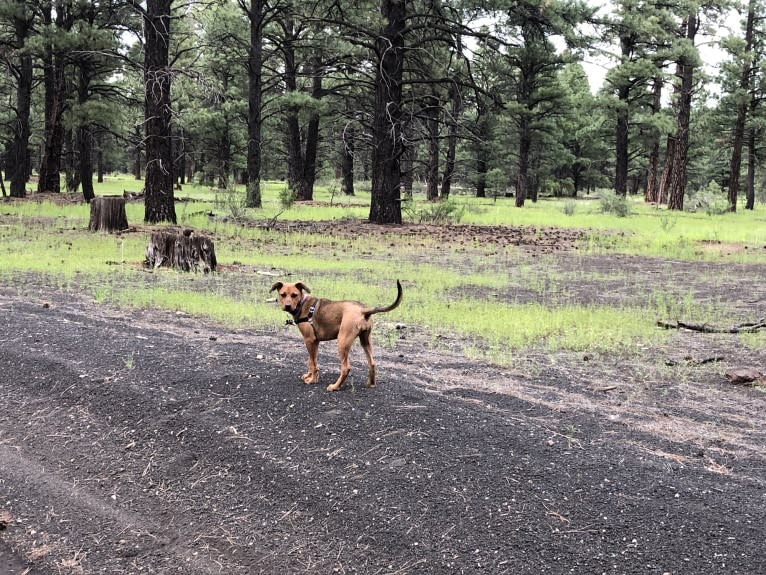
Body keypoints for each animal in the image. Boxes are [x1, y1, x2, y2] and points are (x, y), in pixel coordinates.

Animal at [272, 282, 404, 394]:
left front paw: (312, 380)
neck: (303, 303)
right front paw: (309, 376)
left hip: (342, 342)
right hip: (365, 340)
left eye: (294, 295)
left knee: (346, 368)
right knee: (372, 363)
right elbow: (311, 361)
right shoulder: (314, 342)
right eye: (282, 294)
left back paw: (335, 386)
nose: (287, 306)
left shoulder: (309, 340)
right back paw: (371, 383)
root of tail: (363, 310)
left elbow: (313, 364)